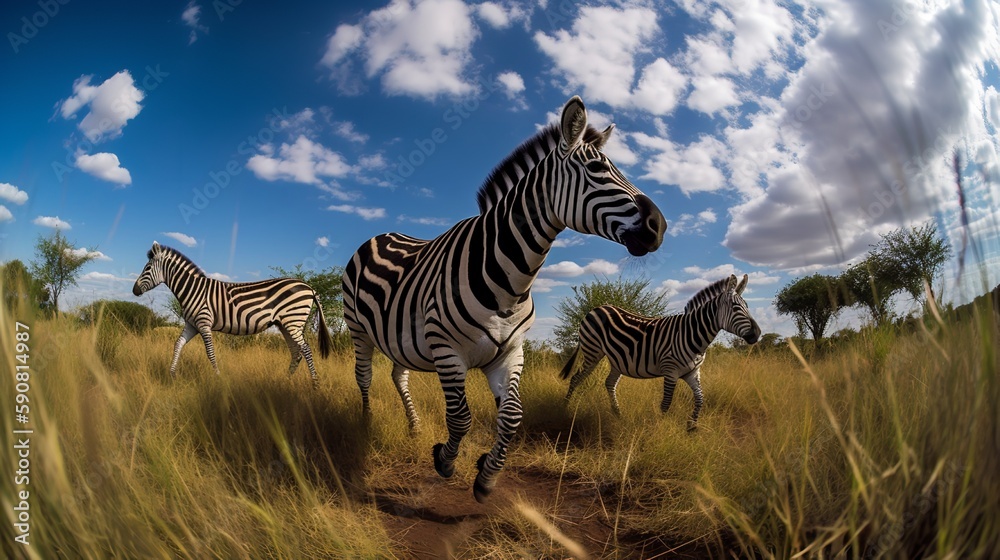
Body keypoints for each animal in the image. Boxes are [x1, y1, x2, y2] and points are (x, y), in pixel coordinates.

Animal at [132, 242, 332, 386]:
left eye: (147, 268)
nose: (134, 290)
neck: (193, 290)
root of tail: (309, 287)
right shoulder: (192, 325)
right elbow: (178, 345)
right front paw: (172, 374)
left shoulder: (204, 323)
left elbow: (210, 353)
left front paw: (218, 379)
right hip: (285, 324)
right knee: (296, 351)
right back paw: (285, 380)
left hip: (293, 321)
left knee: (306, 349)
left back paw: (315, 385)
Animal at [342, 96, 666, 502]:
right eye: (596, 168)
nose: (660, 227)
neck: (508, 283)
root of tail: (382, 233)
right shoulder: (448, 350)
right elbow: (460, 417)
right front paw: (445, 461)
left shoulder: (510, 352)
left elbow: (511, 416)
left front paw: (486, 476)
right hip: (359, 330)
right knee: (364, 377)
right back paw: (366, 424)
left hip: (401, 338)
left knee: (397, 375)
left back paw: (414, 427)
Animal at [559, 274, 760, 430]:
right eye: (735, 307)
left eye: (748, 305)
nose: (757, 334)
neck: (692, 334)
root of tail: (596, 308)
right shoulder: (670, 370)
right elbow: (666, 403)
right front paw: (659, 427)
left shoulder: (693, 372)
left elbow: (700, 399)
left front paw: (691, 426)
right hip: (592, 351)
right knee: (576, 379)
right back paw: (565, 409)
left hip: (616, 359)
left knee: (609, 383)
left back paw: (618, 414)